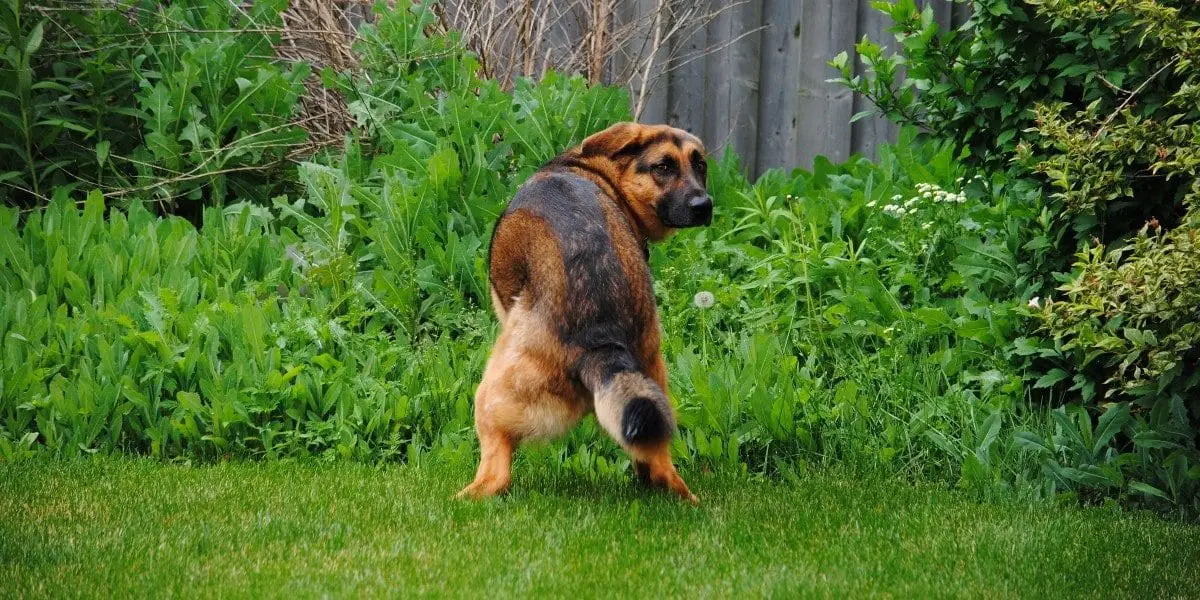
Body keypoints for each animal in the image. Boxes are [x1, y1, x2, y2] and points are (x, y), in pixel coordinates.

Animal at [453, 120, 705, 501]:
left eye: (698, 165)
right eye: (664, 167)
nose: (704, 204)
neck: (595, 170)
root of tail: (599, 334)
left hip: (491, 395)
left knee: (497, 475)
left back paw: (463, 498)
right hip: (652, 378)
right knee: (658, 458)